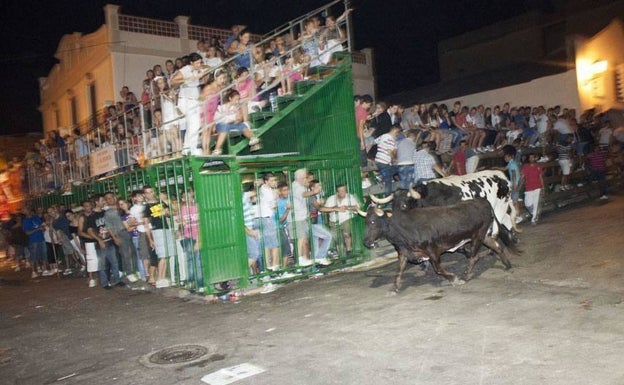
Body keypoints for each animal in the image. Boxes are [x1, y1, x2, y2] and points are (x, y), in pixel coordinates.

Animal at [360, 198, 512, 292]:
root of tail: (482, 200)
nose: (366, 242)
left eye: (373, 221)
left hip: (477, 236)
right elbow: (399, 271)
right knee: (497, 246)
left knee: (474, 257)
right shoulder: (404, 253)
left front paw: (455, 279)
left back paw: (466, 276)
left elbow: (438, 269)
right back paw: (507, 265)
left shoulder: (433, 250)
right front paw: (394, 288)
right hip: (483, 235)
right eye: (365, 222)